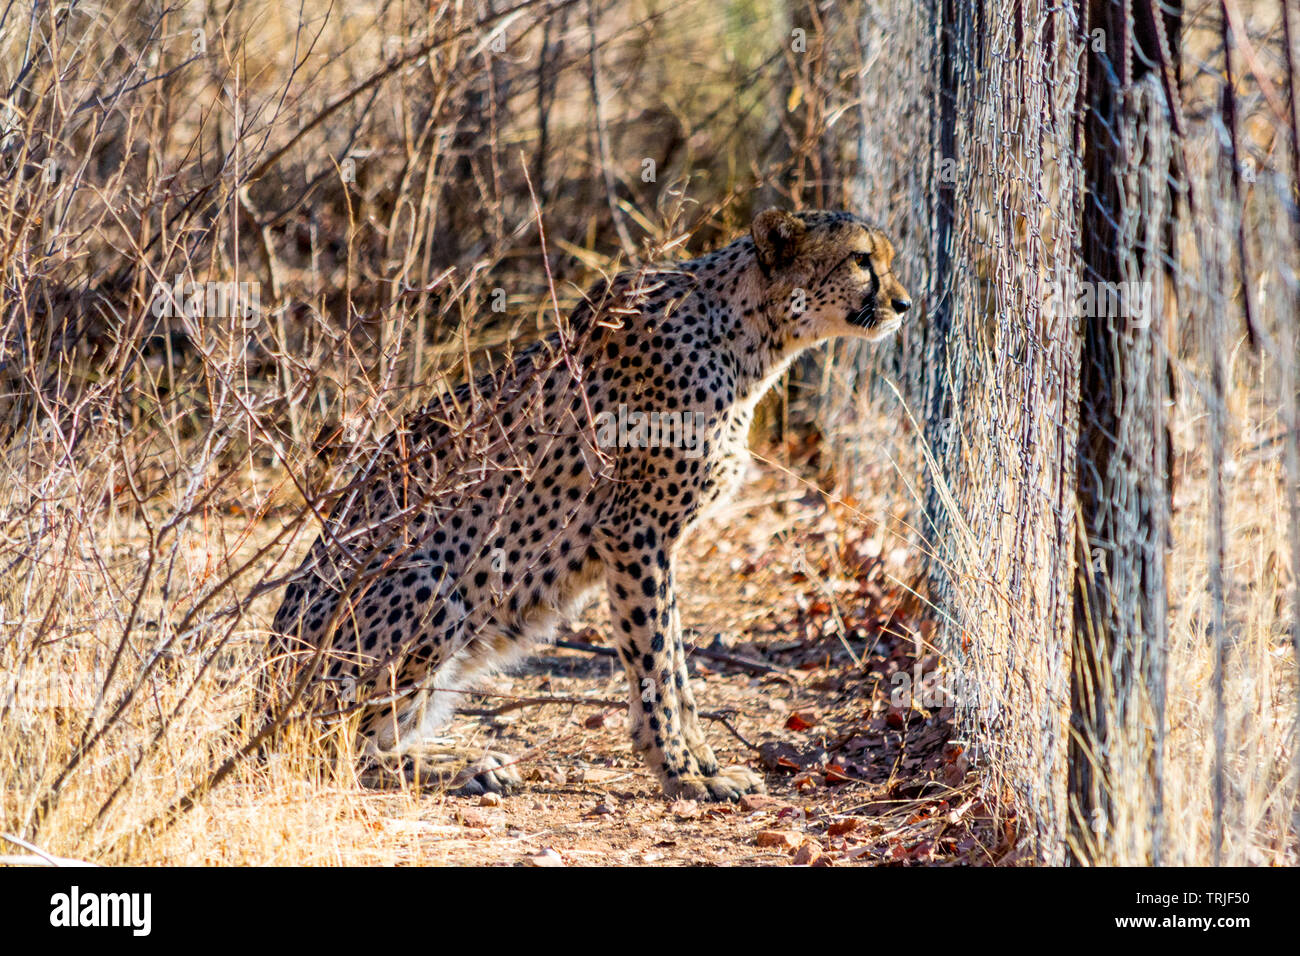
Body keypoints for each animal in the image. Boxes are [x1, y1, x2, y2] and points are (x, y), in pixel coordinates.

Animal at [266, 208, 915, 801]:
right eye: (862, 260)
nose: (905, 304)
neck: (745, 331)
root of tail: (263, 689)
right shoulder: (634, 532)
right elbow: (653, 662)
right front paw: (680, 773)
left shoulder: (658, 542)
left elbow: (676, 661)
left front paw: (702, 761)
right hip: (430, 583)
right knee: (331, 753)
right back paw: (462, 767)